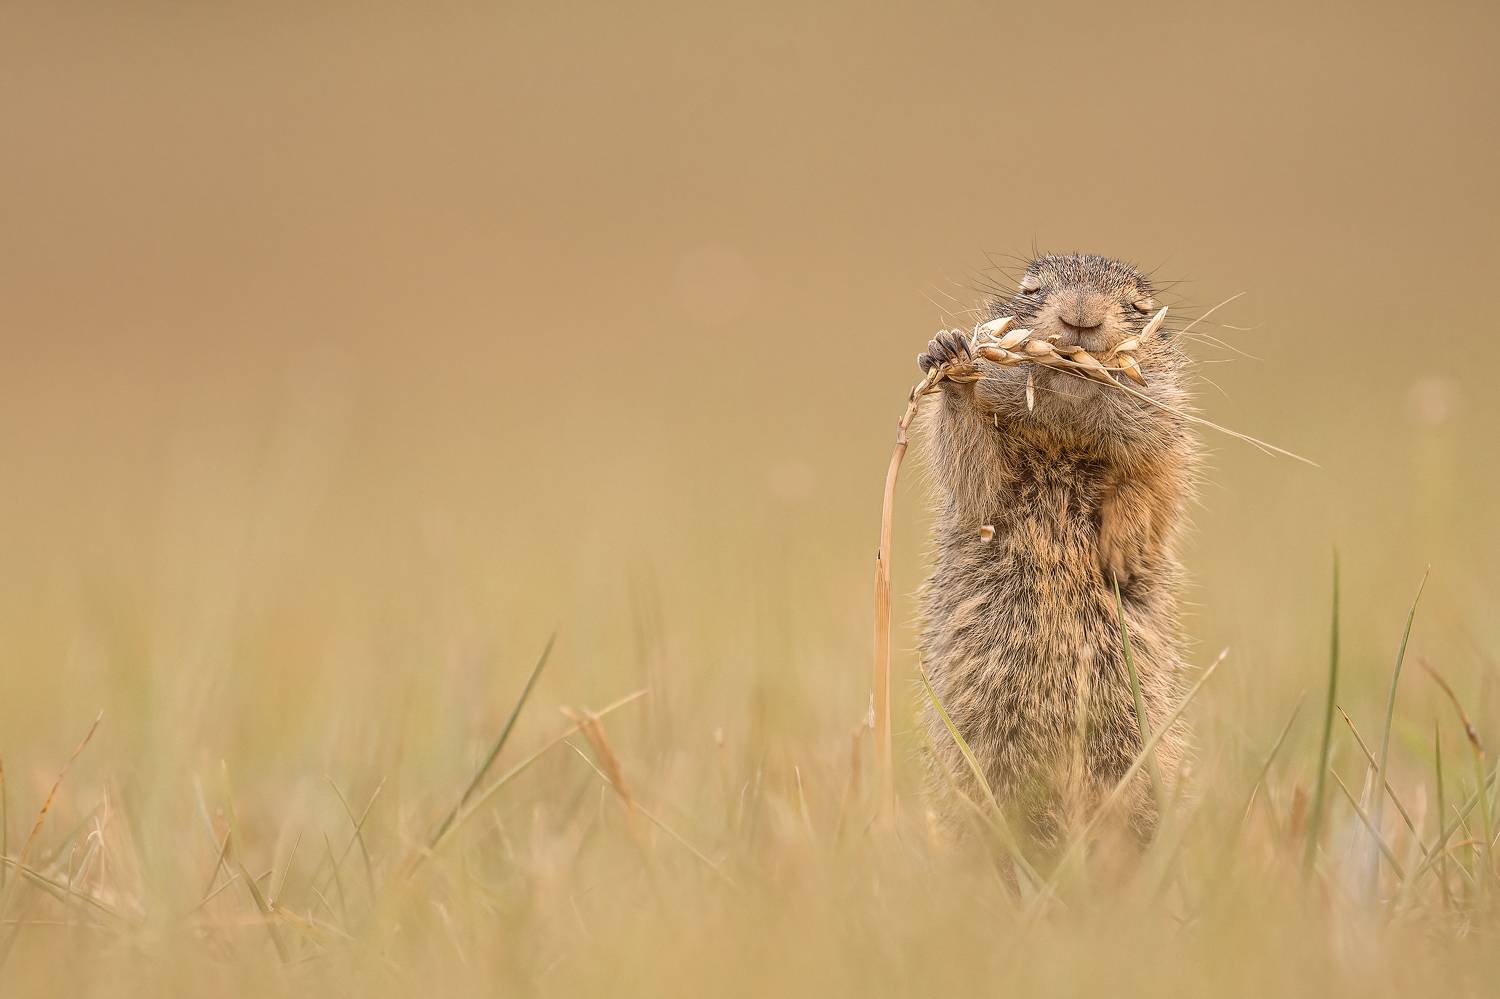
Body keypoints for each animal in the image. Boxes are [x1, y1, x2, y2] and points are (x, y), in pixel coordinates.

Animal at [916, 253, 1198, 846]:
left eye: (1139, 306)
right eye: (1030, 290)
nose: (1081, 314)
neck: (1065, 440)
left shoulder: (1170, 431)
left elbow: (1158, 483)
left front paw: (1123, 549)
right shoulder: (989, 486)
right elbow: (975, 478)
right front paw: (950, 356)